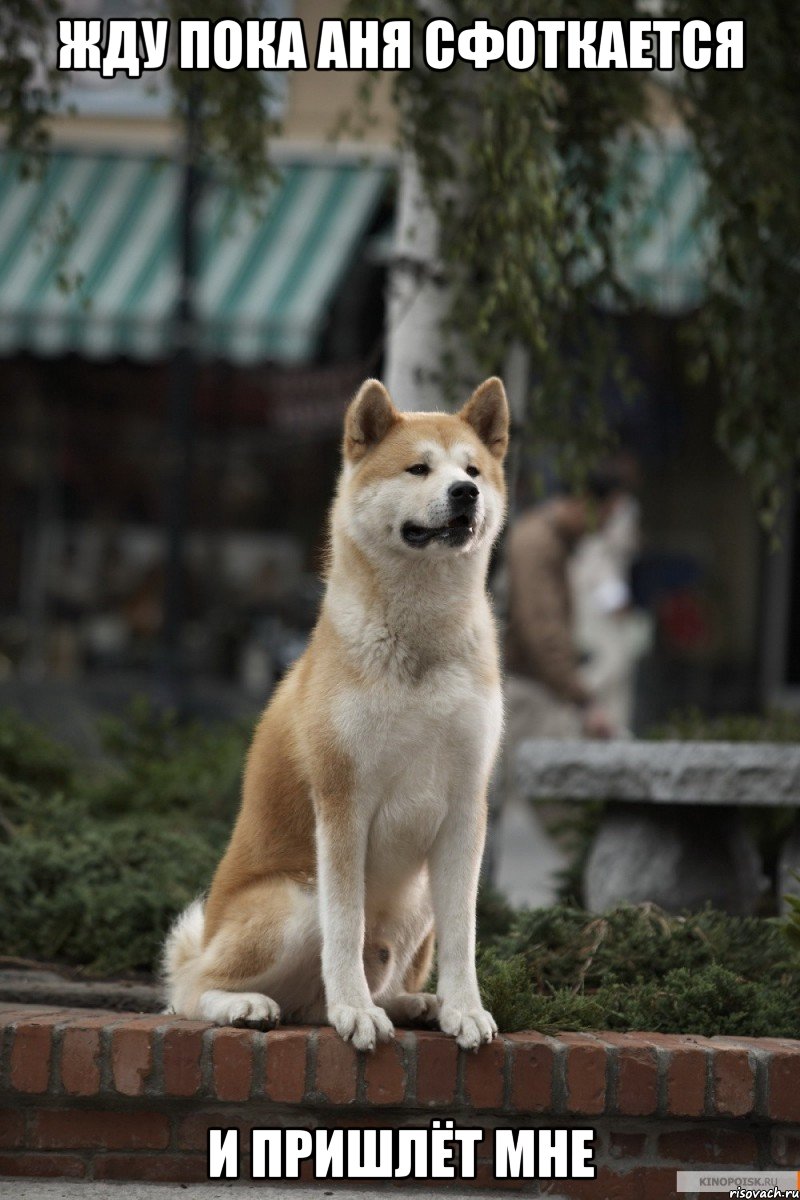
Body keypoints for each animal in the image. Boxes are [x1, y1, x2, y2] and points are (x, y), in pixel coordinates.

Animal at [165, 376, 510, 1051]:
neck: (420, 644)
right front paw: (355, 1011)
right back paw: (250, 1005)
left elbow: (465, 935)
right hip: (296, 900)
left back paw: (415, 1004)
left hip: (417, 900)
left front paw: (464, 1008)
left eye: (473, 470)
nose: (466, 493)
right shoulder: (343, 801)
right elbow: (346, 928)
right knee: (189, 990)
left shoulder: (466, 806)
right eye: (418, 468)